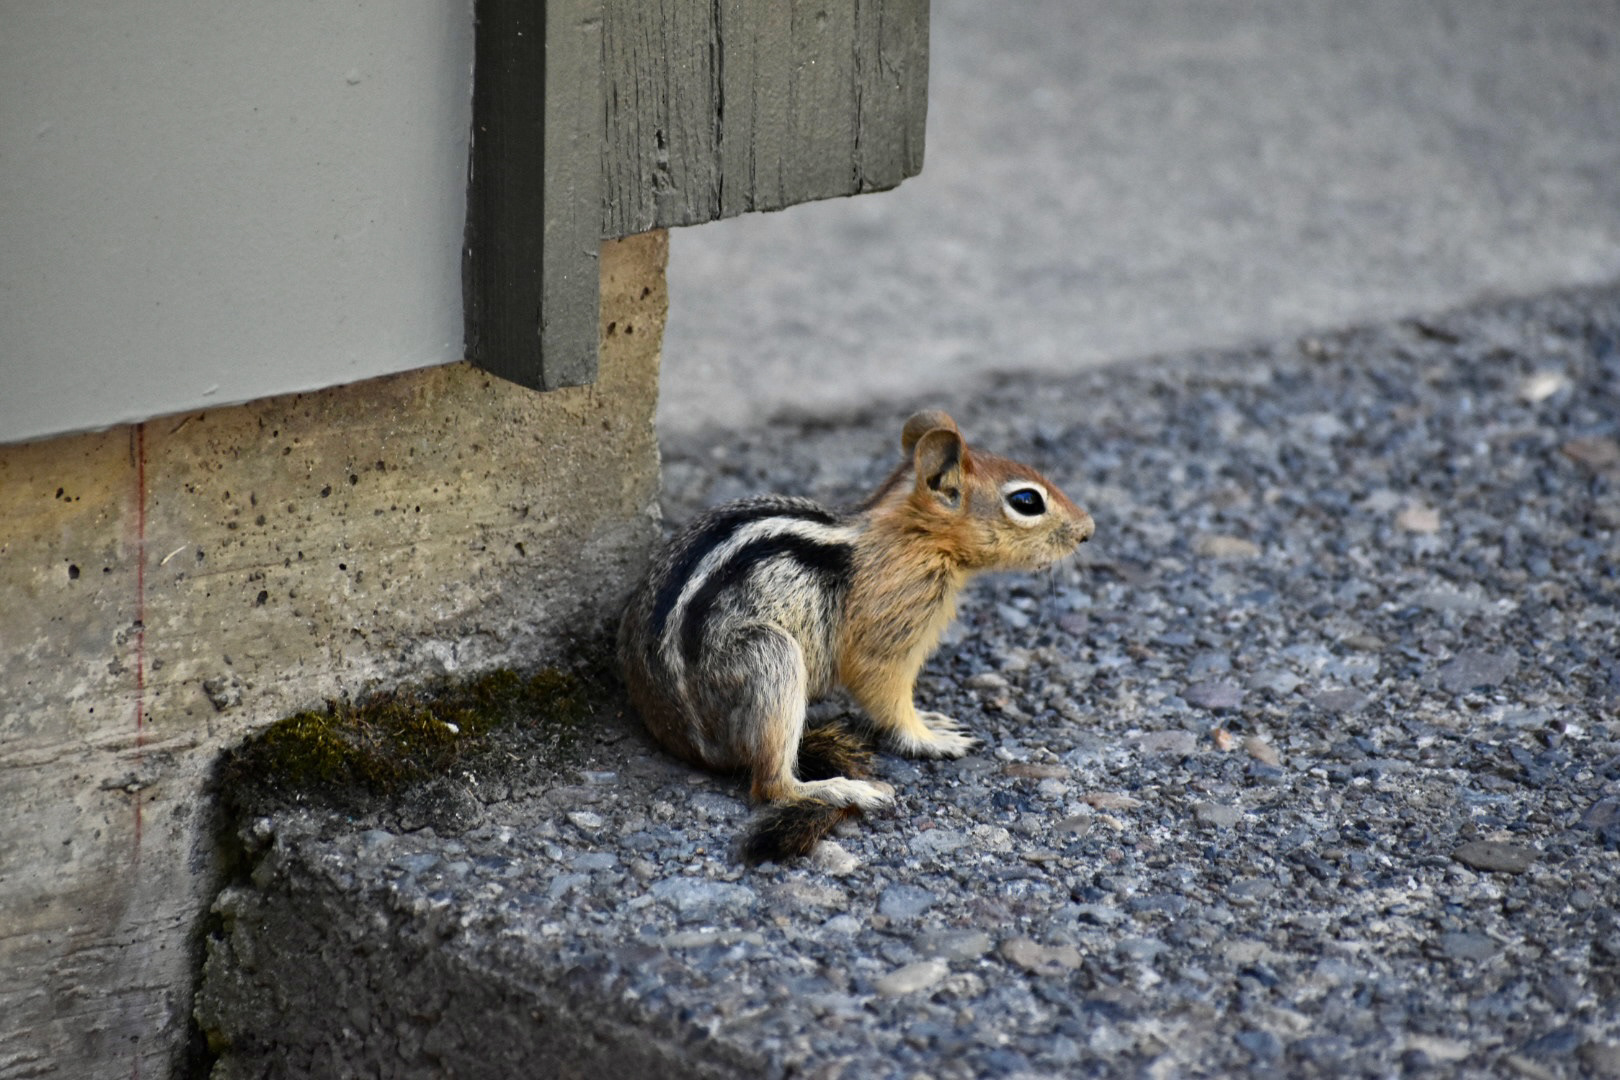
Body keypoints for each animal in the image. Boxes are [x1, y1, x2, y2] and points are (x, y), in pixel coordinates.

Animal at [618, 410, 1094, 863]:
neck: (914, 538)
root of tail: (689, 742)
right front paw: (930, 738)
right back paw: (844, 790)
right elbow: (886, 696)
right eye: (1027, 501)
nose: (1088, 530)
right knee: (770, 785)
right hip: (770, 658)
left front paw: (934, 721)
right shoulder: (889, 634)